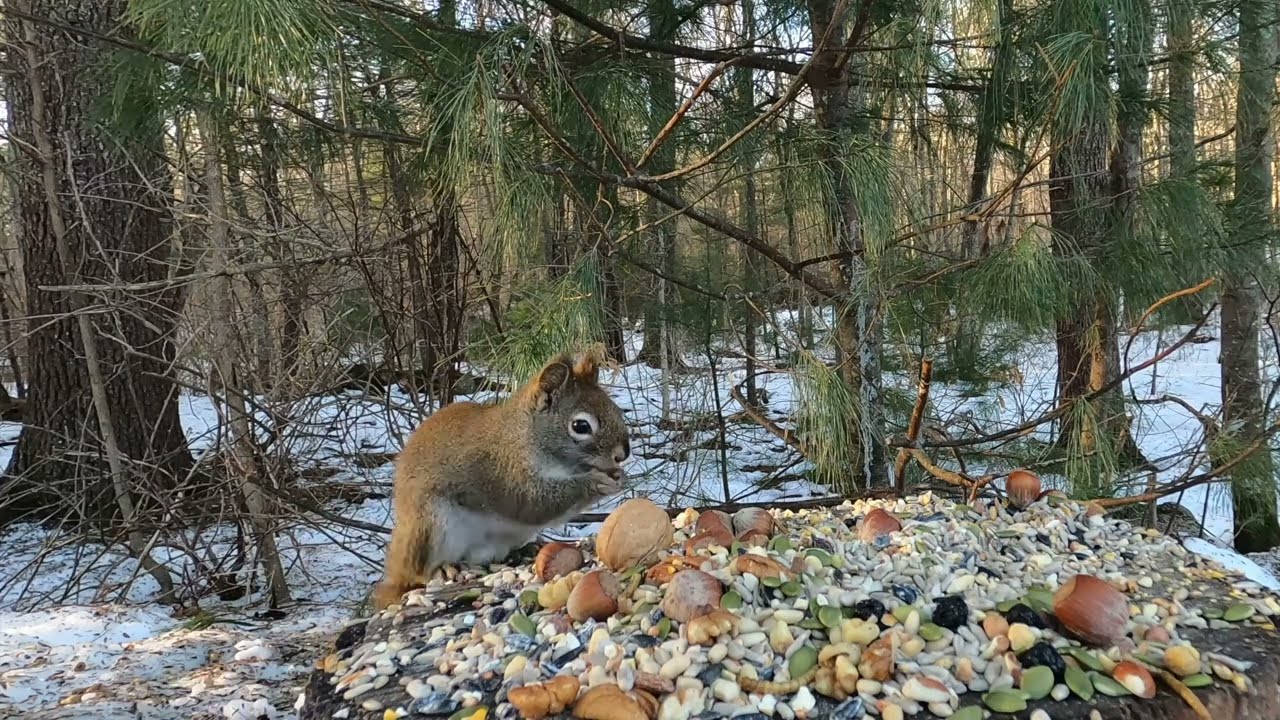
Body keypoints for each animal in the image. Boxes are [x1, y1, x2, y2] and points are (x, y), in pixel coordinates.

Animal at [371, 348, 631, 610]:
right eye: (580, 426)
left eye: (615, 409)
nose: (623, 454)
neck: (523, 437)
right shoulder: (504, 474)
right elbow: (534, 503)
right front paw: (595, 483)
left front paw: (620, 476)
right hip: (429, 525)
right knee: (417, 572)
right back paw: (440, 571)